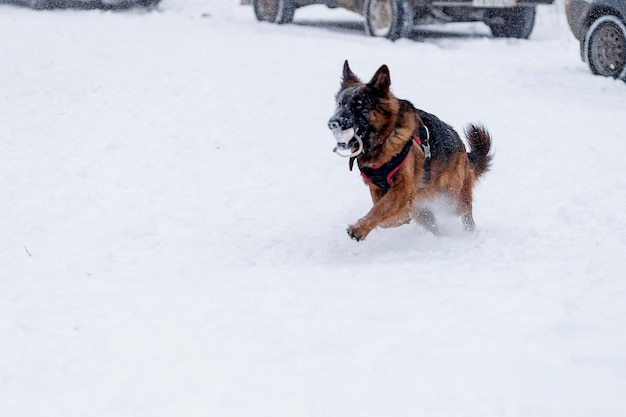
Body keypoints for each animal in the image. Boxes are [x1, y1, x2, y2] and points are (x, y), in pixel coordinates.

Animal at [326, 60, 492, 239]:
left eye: (358, 106)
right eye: (340, 104)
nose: (332, 123)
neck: (383, 141)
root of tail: (462, 148)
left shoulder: (402, 187)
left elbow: (380, 209)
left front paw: (359, 228)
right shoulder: (377, 188)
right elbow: (383, 214)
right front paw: (401, 218)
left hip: (450, 199)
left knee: (465, 210)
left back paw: (468, 231)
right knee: (431, 220)